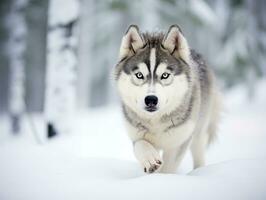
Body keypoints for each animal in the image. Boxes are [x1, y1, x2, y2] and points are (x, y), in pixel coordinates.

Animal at [114, 25, 220, 173]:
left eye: (165, 75)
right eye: (139, 75)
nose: (151, 99)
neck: (156, 121)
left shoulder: (179, 141)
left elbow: (168, 167)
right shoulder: (136, 135)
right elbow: (141, 145)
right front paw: (150, 160)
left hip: (199, 132)